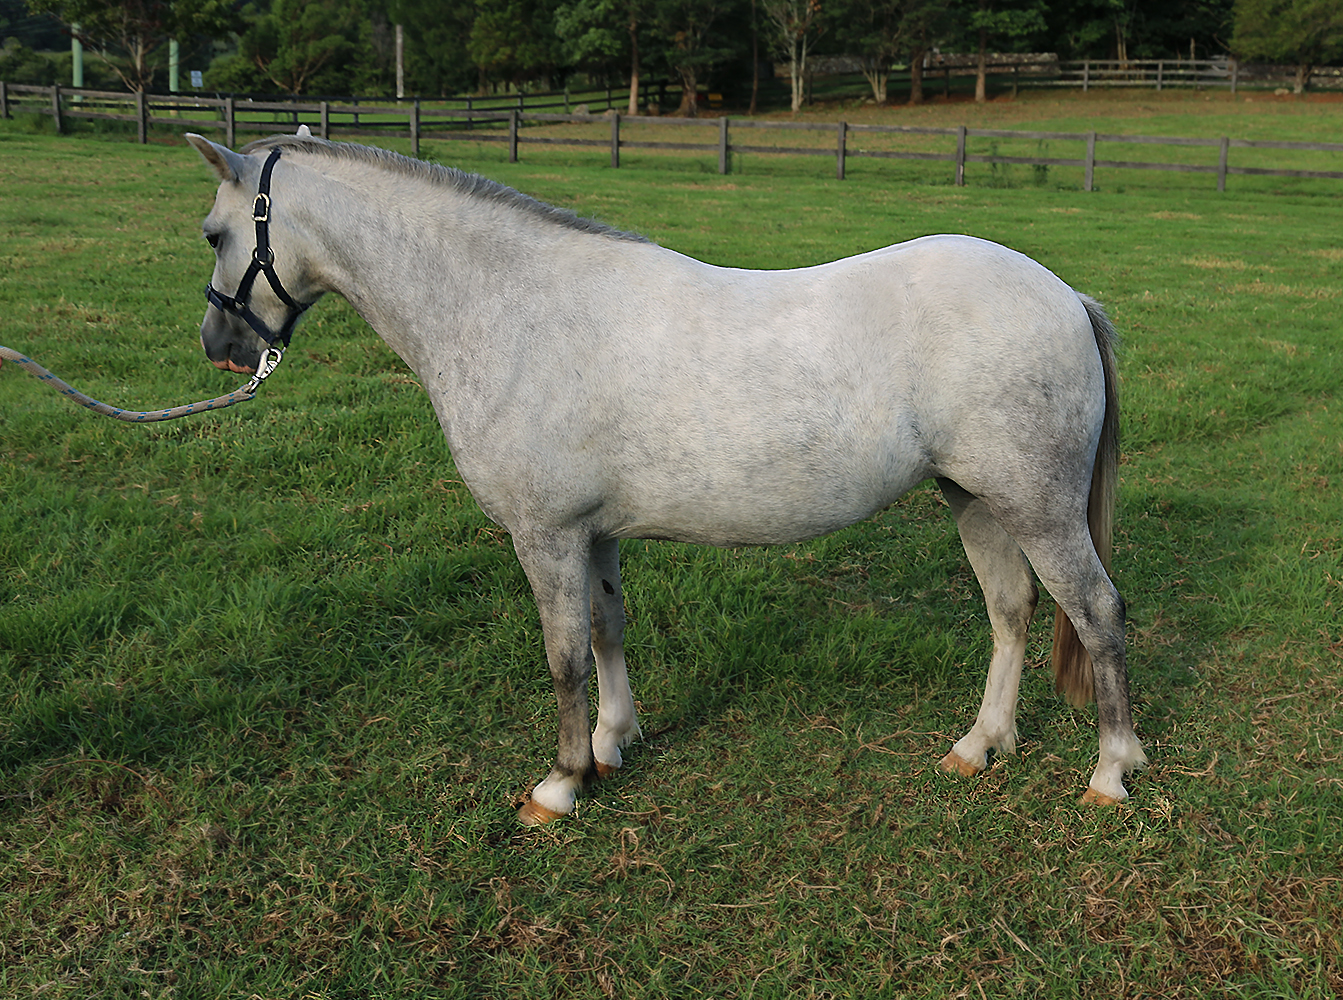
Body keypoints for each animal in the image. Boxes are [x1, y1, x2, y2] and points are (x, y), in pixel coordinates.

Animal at [186, 130, 1146, 825]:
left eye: (214, 233)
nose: (220, 346)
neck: (512, 308)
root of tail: (1065, 297)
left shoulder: (545, 535)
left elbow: (562, 655)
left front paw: (561, 784)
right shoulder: (593, 534)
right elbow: (606, 630)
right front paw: (613, 743)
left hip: (1037, 507)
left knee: (1095, 613)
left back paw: (1109, 772)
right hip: (975, 498)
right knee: (1011, 611)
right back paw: (979, 746)